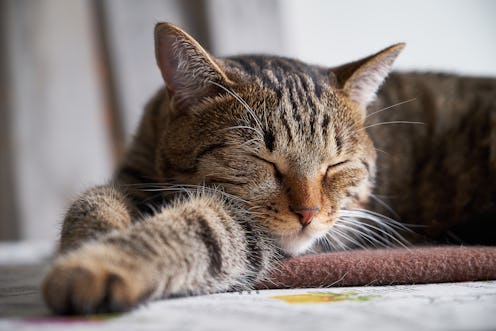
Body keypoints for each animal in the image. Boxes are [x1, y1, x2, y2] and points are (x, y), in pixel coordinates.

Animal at [42, 22, 496, 316]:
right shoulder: (134, 178)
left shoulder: (252, 229)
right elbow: (93, 201)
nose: (309, 213)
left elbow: (201, 228)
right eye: (261, 160)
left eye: (336, 165)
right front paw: (92, 236)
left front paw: (96, 265)